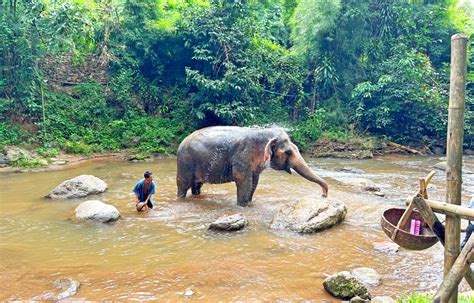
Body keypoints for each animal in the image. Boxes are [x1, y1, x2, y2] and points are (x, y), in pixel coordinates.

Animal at [176, 126, 328, 207]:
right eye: (289, 152)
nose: (323, 195)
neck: (265, 133)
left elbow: (254, 182)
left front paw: (249, 203)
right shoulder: (242, 158)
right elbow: (243, 181)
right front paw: (243, 206)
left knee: (197, 185)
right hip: (185, 161)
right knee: (183, 184)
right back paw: (181, 199)